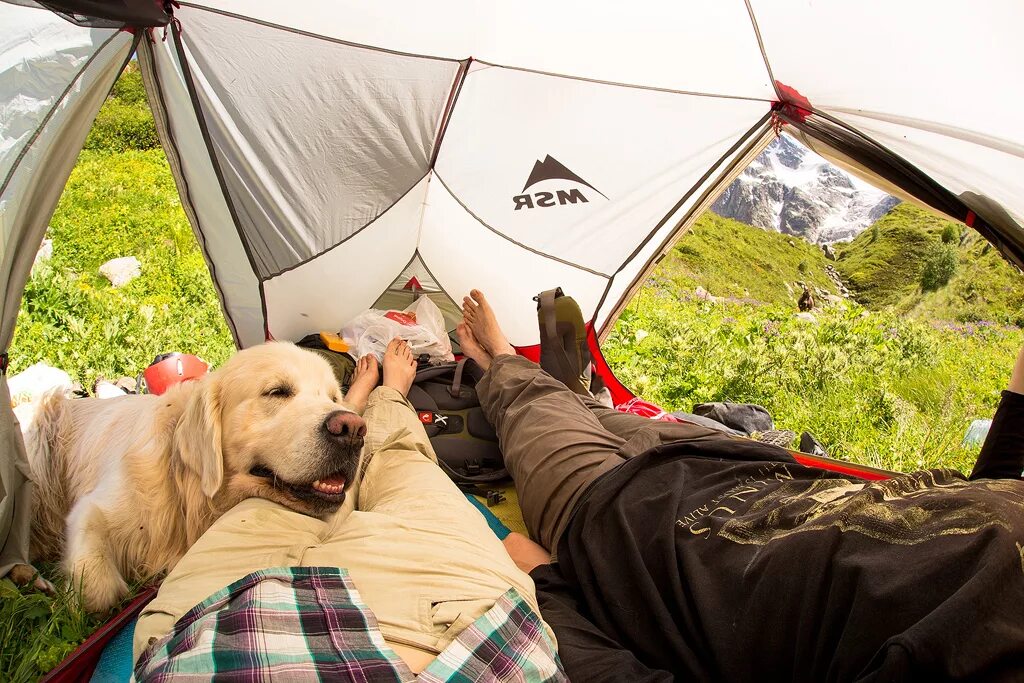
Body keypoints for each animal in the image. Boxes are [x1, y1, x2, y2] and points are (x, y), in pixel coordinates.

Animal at [22, 342, 366, 614]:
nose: (353, 429)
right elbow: (97, 589)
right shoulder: (93, 509)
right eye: (277, 392)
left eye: (335, 398)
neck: (185, 489)